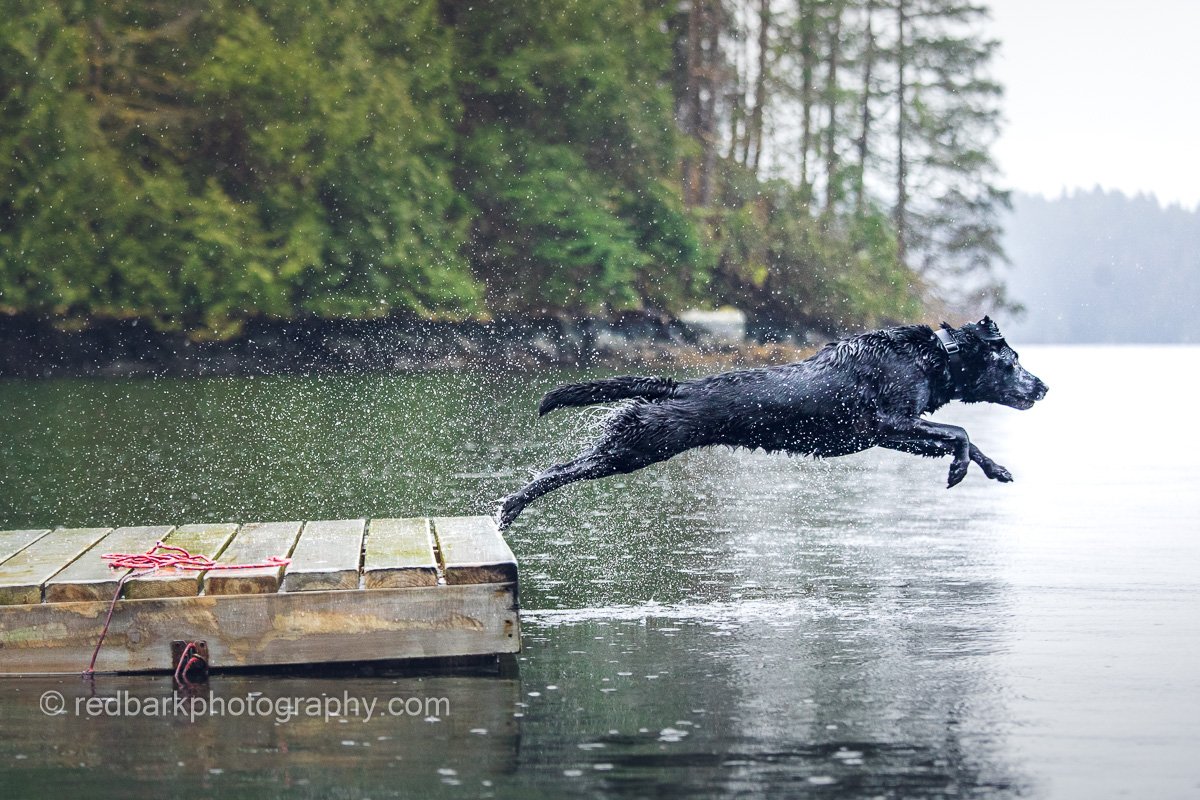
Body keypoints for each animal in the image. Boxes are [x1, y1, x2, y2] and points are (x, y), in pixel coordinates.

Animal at [494, 319, 1041, 532]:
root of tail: (676, 387)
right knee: (556, 471)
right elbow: (960, 434)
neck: (933, 356)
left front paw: (997, 470)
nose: (1044, 387)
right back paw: (510, 506)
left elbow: (965, 439)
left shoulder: (892, 436)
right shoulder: (891, 423)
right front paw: (959, 470)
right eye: (1013, 361)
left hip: (631, 443)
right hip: (635, 447)